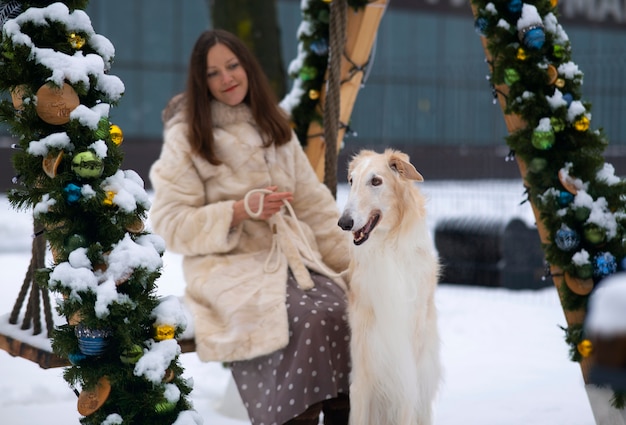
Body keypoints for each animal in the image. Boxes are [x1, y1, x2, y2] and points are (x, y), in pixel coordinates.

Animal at [336, 149, 438, 424]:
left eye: (376, 181)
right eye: (351, 180)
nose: (344, 223)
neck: (387, 250)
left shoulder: (407, 378)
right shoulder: (362, 376)